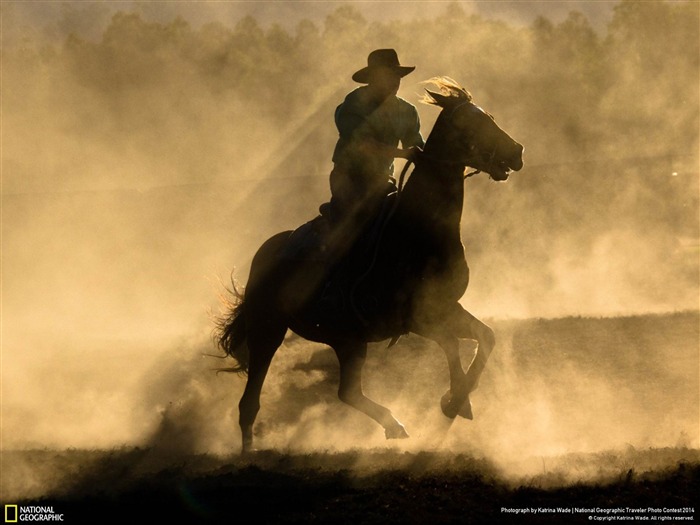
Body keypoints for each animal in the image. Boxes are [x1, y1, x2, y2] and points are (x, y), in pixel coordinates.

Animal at [216, 77, 524, 450]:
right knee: (250, 402)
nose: (517, 151)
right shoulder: (416, 319)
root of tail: (266, 252)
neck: (418, 231)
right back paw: (250, 451)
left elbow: (486, 336)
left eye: (489, 116)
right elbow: (451, 344)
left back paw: (395, 425)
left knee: (347, 392)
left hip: (348, 341)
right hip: (267, 329)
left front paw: (458, 400)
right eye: (471, 123)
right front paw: (454, 401)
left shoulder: (447, 307)